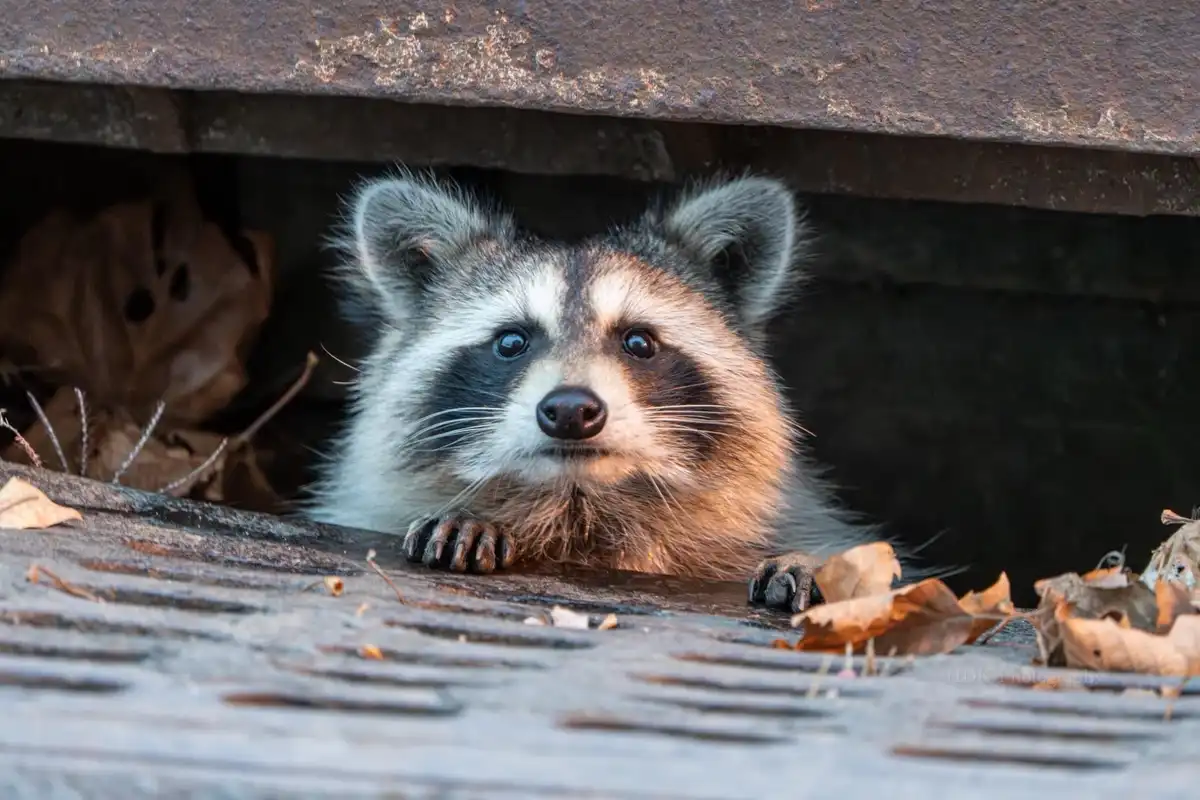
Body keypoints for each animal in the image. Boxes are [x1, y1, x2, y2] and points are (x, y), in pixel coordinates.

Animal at [304, 171, 907, 610]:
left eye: (638, 341)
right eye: (511, 341)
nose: (571, 410)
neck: (579, 509)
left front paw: (813, 563)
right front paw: (473, 516)